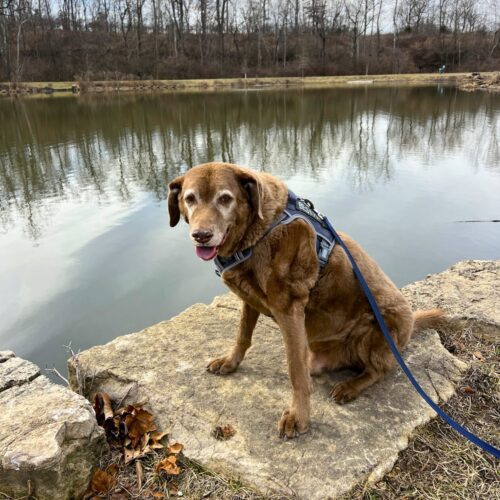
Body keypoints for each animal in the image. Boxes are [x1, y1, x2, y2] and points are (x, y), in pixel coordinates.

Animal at [168, 162, 444, 439]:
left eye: (225, 198)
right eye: (190, 199)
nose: (201, 235)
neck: (257, 233)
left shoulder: (289, 310)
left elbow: (296, 372)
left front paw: (298, 417)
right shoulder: (249, 299)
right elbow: (242, 335)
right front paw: (230, 362)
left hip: (379, 327)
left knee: (381, 369)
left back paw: (351, 386)